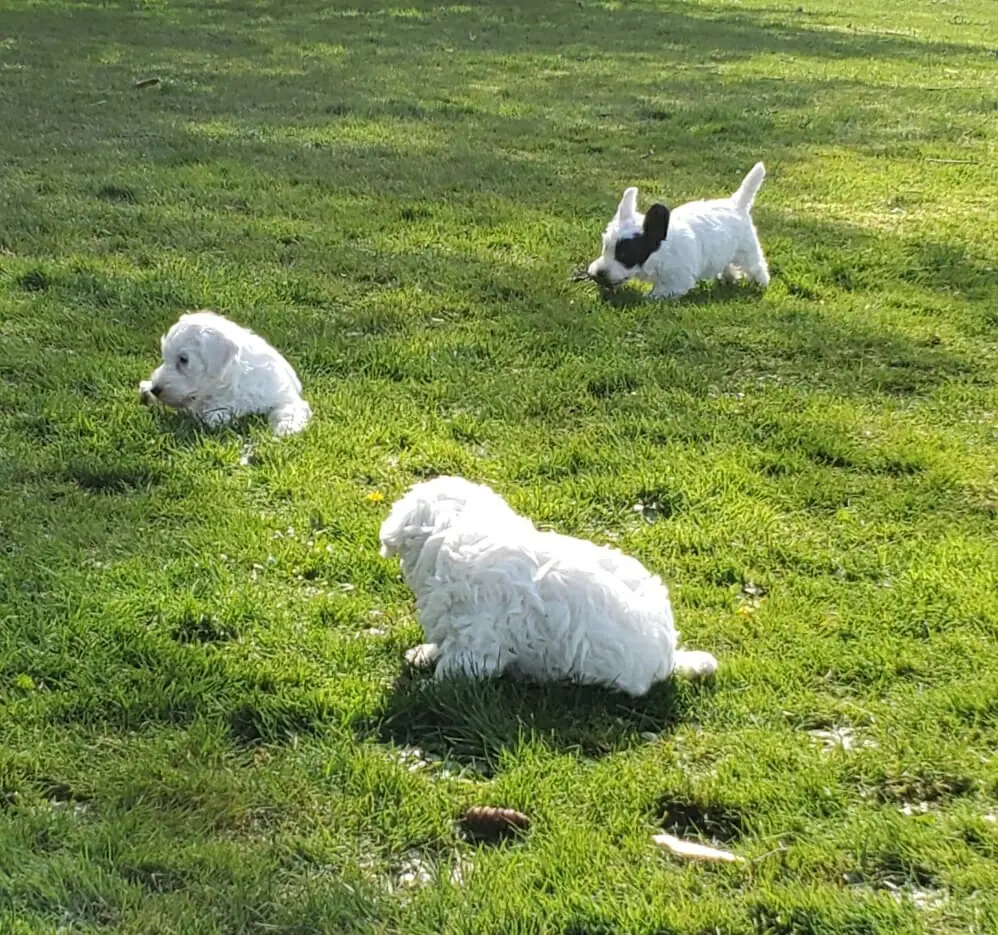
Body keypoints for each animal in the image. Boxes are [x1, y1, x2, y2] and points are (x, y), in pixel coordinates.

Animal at [376, 478, 720, 700]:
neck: (457, 530)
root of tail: (669, 656)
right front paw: (424, 653)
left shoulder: (477, 639)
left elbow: (453, 669)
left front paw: (425, 689)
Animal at [584, 161, 772, 300]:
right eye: (605, 248)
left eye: (624, 255)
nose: (597, 274)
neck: (659, 253)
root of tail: (736, 204)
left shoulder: (676, 281)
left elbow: (658, 294)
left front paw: (647, 298)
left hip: (748, 252)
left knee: (758, 267)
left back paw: (761, 284)